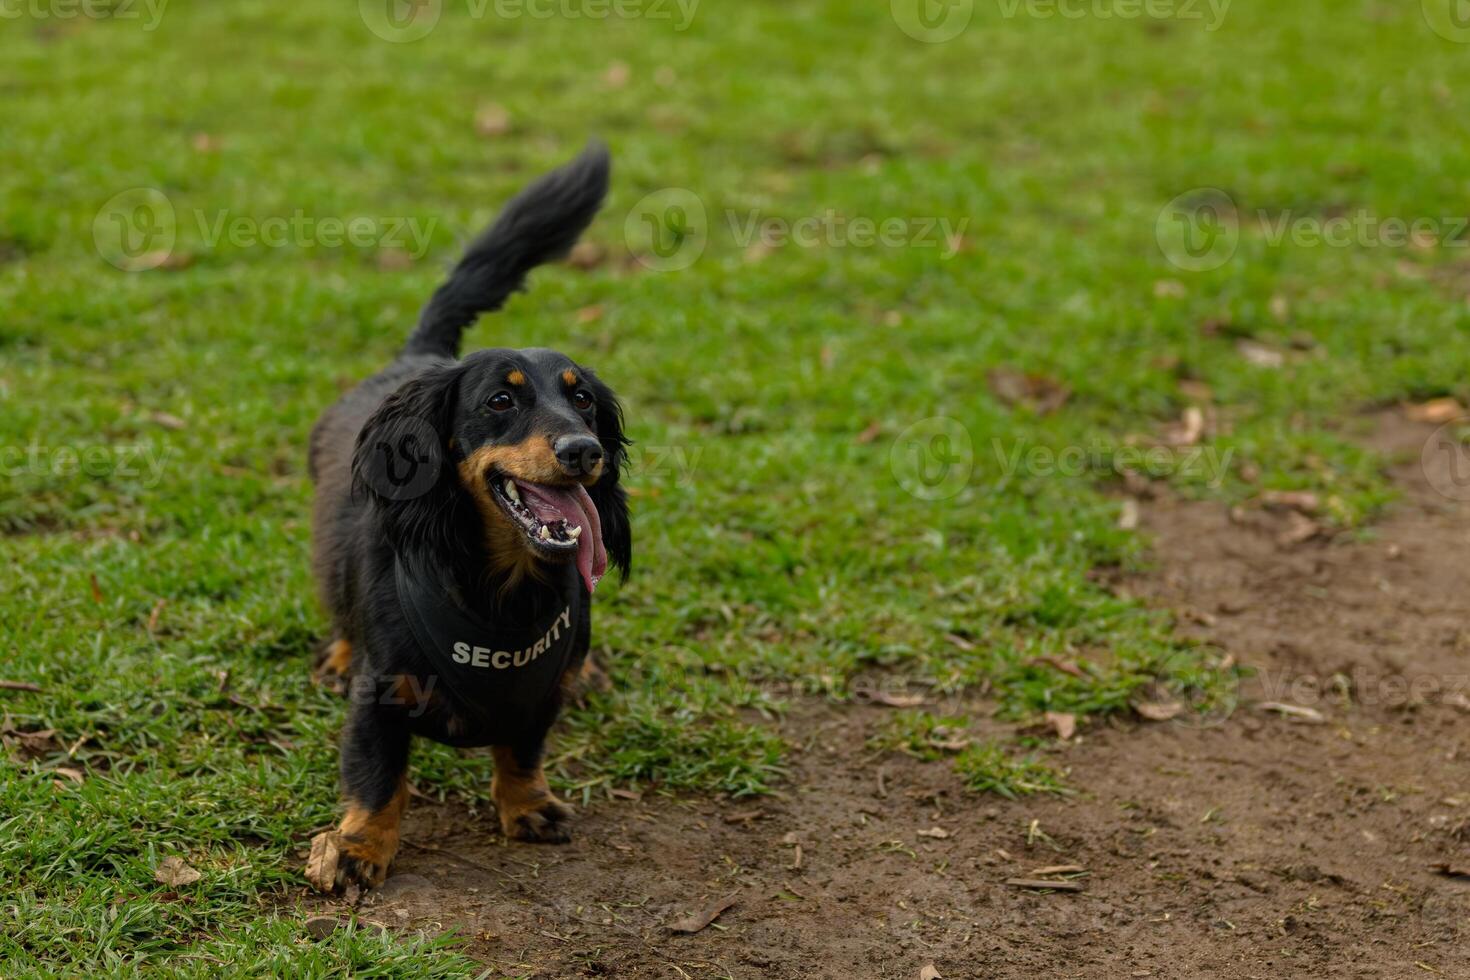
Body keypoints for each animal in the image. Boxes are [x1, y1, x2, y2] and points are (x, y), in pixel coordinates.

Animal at [307, 145, 629, 899]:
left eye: (585, 402)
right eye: (500, 401)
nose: (584, 451)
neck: (500, 594)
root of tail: (417, 357)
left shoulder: (540, 697)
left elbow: (522, 751)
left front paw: (528, 806)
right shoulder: (382, 697)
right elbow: (378, 775)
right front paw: (360, 847)